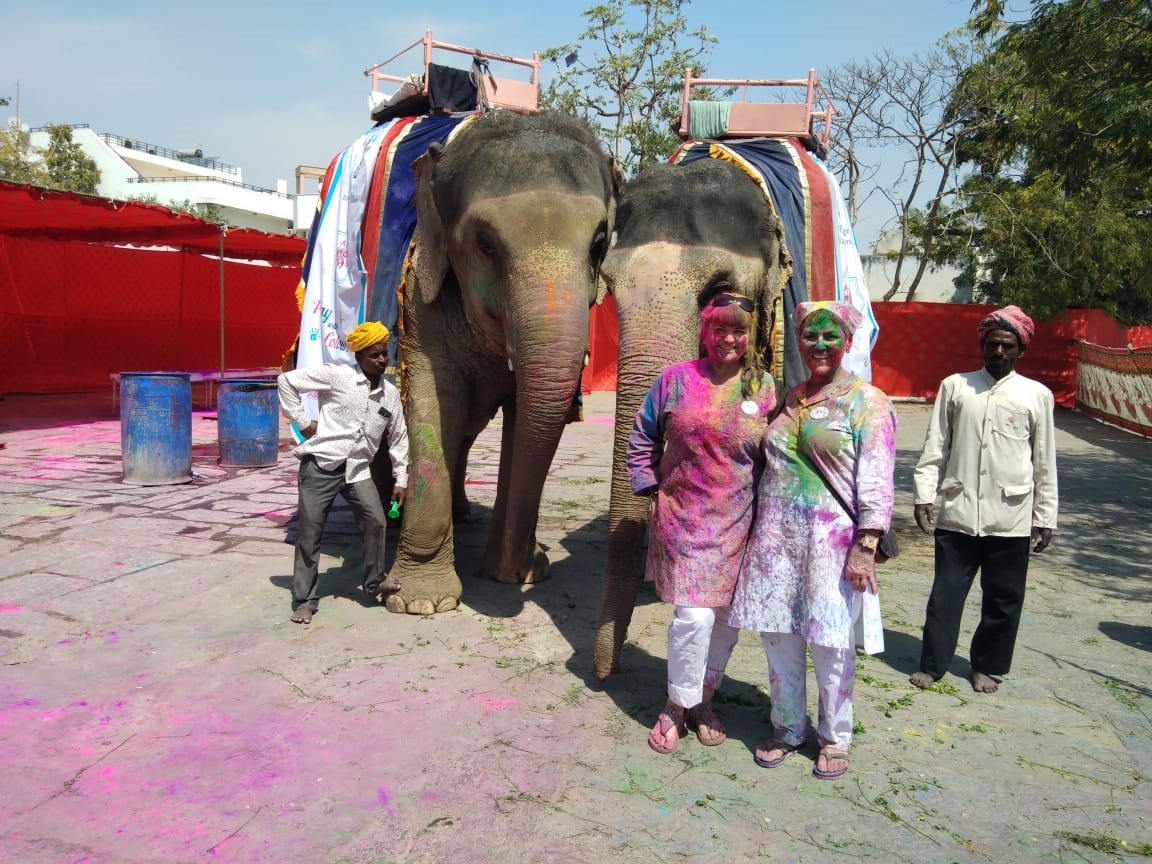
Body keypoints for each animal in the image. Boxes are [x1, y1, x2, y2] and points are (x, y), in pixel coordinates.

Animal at [382, 111, 622, 617]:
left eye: (598, 244)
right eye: (485, 244)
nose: (530, 565)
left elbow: (523, 418)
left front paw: (515, 573)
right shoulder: (419, 298)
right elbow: (433, 405)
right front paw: (420, 603)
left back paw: (462, 516)